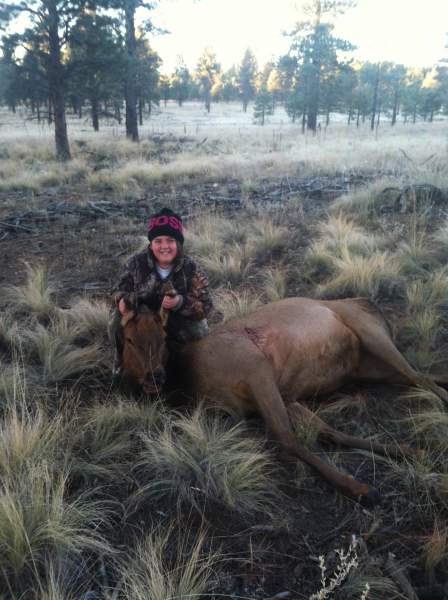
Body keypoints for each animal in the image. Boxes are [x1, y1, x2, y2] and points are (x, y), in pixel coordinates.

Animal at [120, 298, 448, 504]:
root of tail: (372, 306)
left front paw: (360, 489)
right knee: (424, 376)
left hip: (371, 334)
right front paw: (407, 451)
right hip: (369, 368)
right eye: (129, 340)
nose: (154, 377)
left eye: (162, 336)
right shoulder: (285, 395)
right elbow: (329, 432)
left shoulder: (256, 368)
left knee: (422, 378)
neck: (190, 382)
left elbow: (287, 437)